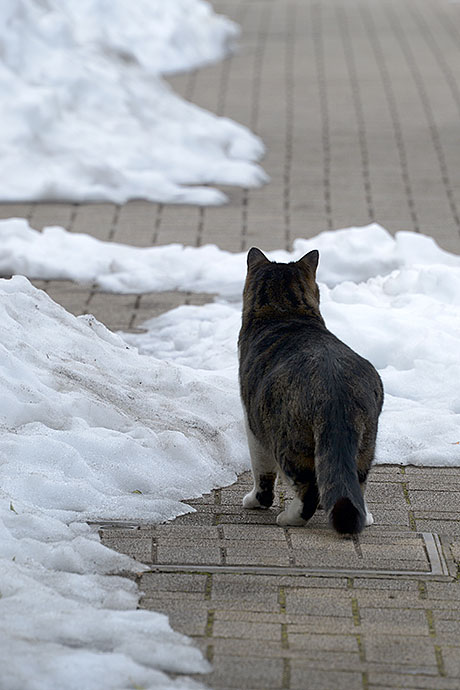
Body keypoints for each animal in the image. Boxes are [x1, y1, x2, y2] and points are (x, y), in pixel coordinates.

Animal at [237, 247, 384, 532]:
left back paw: (289, 518)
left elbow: (262, 471)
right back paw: (365, 515)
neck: (285, 312)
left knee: (309, 490)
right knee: (355, 482)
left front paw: (256, 501)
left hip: (288, 442)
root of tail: (335, 388)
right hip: (366, 444)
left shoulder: (253, 425)